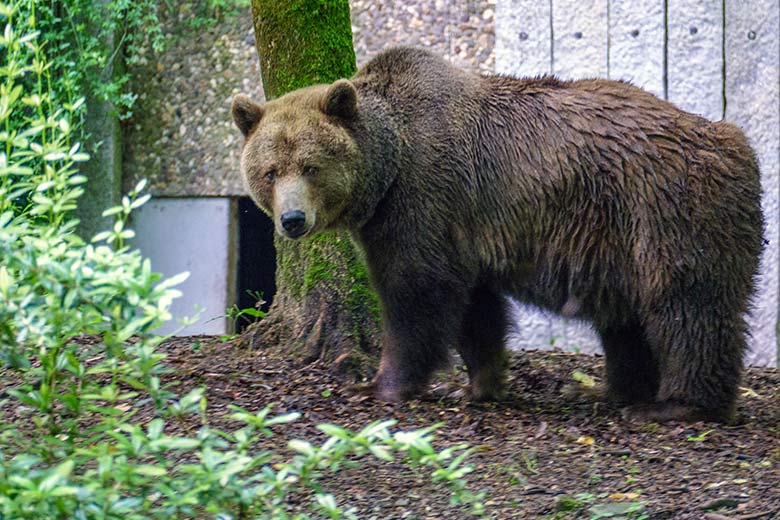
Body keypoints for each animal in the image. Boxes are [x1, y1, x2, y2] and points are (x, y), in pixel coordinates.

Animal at [230, 46, 760, 424]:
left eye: (311, 166)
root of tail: (736, 143)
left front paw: (381, 384)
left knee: (687, 306)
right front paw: (476, 384)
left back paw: (676, 404)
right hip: (620, 240)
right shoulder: (461, 230)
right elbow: (475, 310)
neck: (388, 170)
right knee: (628, 321)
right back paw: (621, 392)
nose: (292, 219)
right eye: (270, 171)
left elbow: (416, 294)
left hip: (666, 211)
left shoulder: (423, 198)